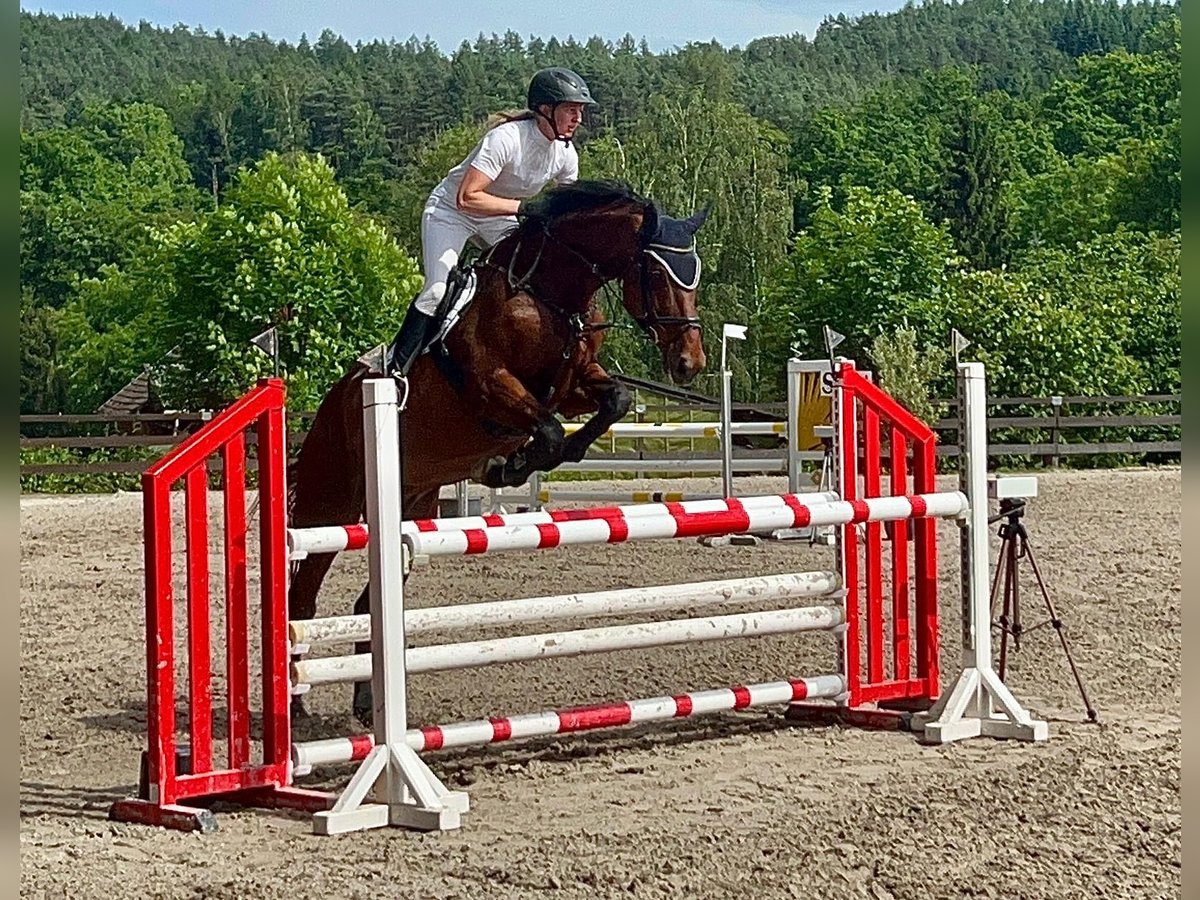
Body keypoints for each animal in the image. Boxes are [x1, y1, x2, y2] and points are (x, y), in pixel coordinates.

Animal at [285, 180, 705, 724]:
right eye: (656, 272)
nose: (690, 363)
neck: (550, 295)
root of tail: (331, 404)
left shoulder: (575, 385)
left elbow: (614, 400)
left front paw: (525, 459)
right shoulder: (492, 386)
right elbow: (547, 430)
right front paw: (511, 464)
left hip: (410, 506)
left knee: (368, 605)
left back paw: (364, 703)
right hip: (330, 505)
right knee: (302, 599)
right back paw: (296, 707)